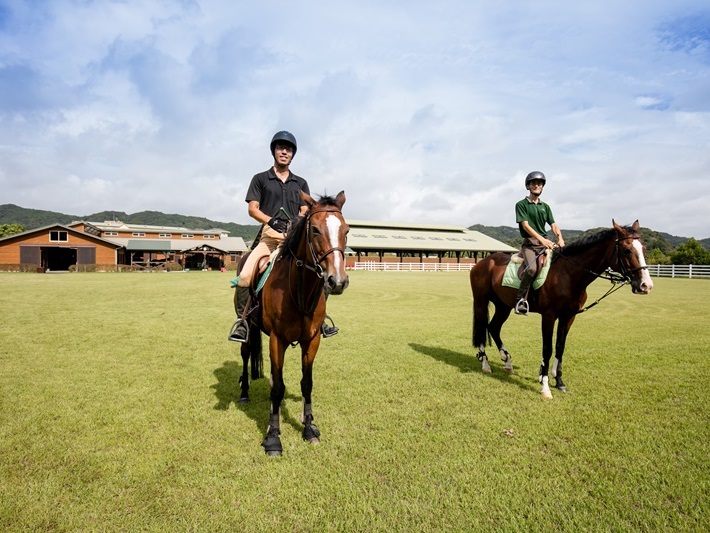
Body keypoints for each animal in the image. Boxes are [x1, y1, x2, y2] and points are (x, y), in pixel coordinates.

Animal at [236, 190, 350, 454]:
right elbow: (277, 388)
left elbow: (306, 384)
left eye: (346, 230)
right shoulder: (278, 340)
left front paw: (309, 428)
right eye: (315, 230)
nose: (337, 281)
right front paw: (273, 437)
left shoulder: (312, 340)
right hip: (247, 325)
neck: (299, 291)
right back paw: (244, 393)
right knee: (246, 353)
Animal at [472, 218, 656, 396]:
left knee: (493, 327)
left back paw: (507, 362)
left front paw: (558, 381)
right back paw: (485, 364)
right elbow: (547, 348)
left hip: (504, 306)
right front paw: (545, 387)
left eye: (644, 249)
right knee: (482, 328)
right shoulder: (549, 316)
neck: (568, 274)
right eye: (626, 250)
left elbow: (560, 347)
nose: (646, 285)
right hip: (481, 302)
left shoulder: (568, 316)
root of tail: (482, 262)